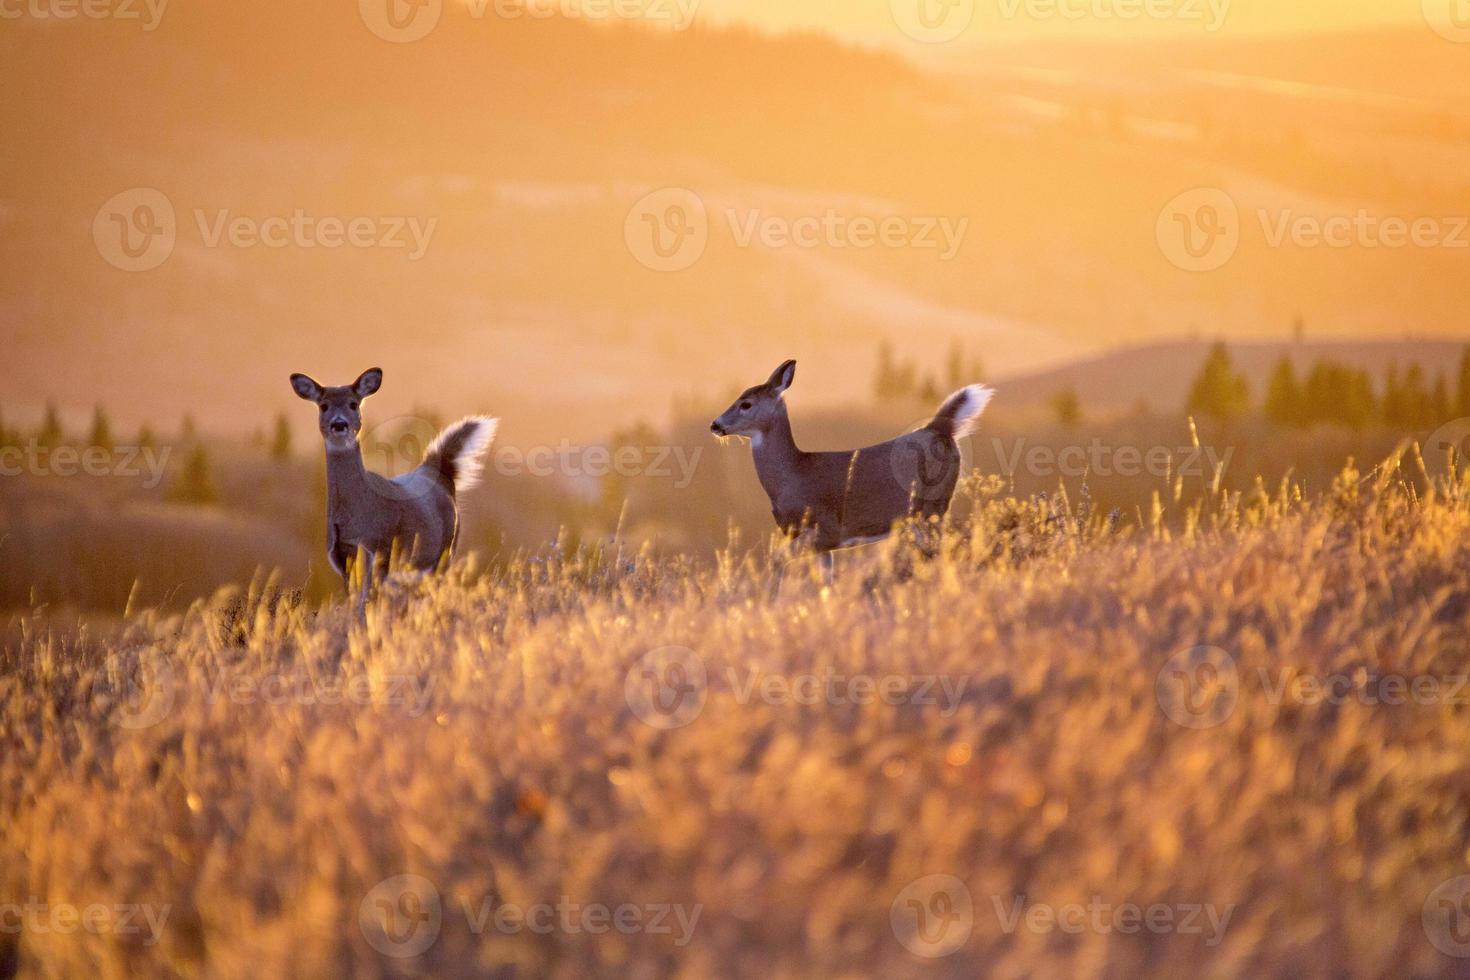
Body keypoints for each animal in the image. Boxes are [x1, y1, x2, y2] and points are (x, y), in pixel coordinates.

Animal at [289, 365, 496, 602]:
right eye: (323, 406)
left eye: (353, 403)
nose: (339, 424)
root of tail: (438, 469)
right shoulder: (341, 559)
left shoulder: (382, 551)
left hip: (445, 550)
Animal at [708, 364, 993, 587]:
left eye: (746, 403)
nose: (715, 425)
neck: (793, 475)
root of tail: (940, 428)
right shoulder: (823, 545)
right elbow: (826, 583)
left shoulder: (826, 529)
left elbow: (777, 558)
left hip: (930, 508)